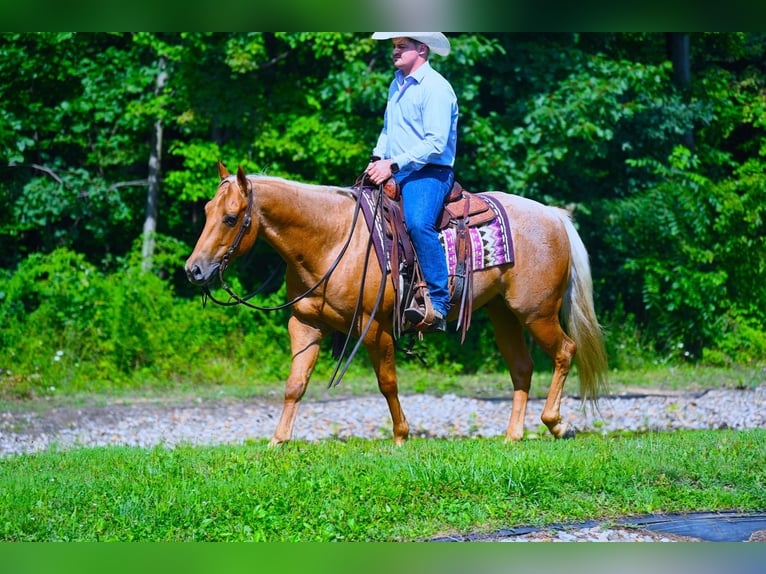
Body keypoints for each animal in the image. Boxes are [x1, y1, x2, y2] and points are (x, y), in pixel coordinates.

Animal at [188, 162, 612, 446]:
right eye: (206, 212)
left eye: (230, 218)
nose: (194, 270)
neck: (332, 239)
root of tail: (553, 216)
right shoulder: (305, 324)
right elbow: (295, 384)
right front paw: (278, 442)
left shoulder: (373, 326)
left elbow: (387, 382)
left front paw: (401, 436)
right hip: (503, 313)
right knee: (522, 368)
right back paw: (512, 436)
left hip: (536, 312)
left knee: (565, 351)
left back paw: (557, 423)